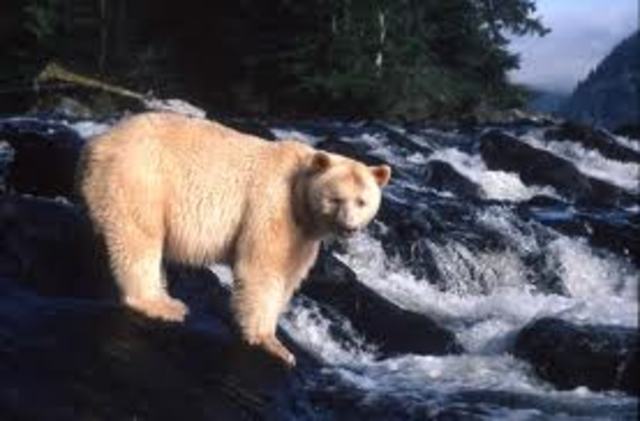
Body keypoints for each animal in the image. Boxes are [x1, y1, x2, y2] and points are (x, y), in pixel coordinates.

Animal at [77, 112, 391, 366]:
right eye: (336, 199)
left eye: (362, 201)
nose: (349, 227)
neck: (300, 195)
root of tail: (97, 142)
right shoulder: (274, 205)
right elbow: (263, 267)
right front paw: (272, 343)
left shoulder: (303, 234)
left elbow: (290, 274)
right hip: (140, 178)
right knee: (139, 237)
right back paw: (162, 304)